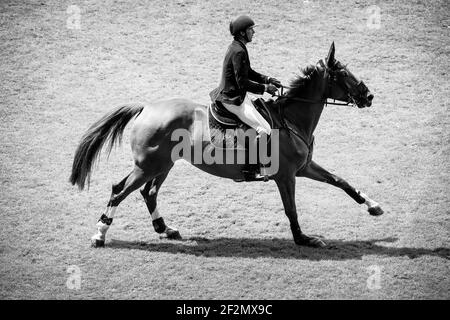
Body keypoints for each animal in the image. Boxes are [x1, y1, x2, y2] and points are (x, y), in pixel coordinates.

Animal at [69, 42, 384, 248]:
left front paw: (373, 206)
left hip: (163, 164)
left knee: (149, 192)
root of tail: (146, 107)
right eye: (343, 74)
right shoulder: (286, 176)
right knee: (119, 190)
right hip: (148, 166)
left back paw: (165, 229)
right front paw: (303, 239)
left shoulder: (304, 167)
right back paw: (100, 235)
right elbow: (291, 209)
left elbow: (340, 181)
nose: (369, 96)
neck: (292, 119)